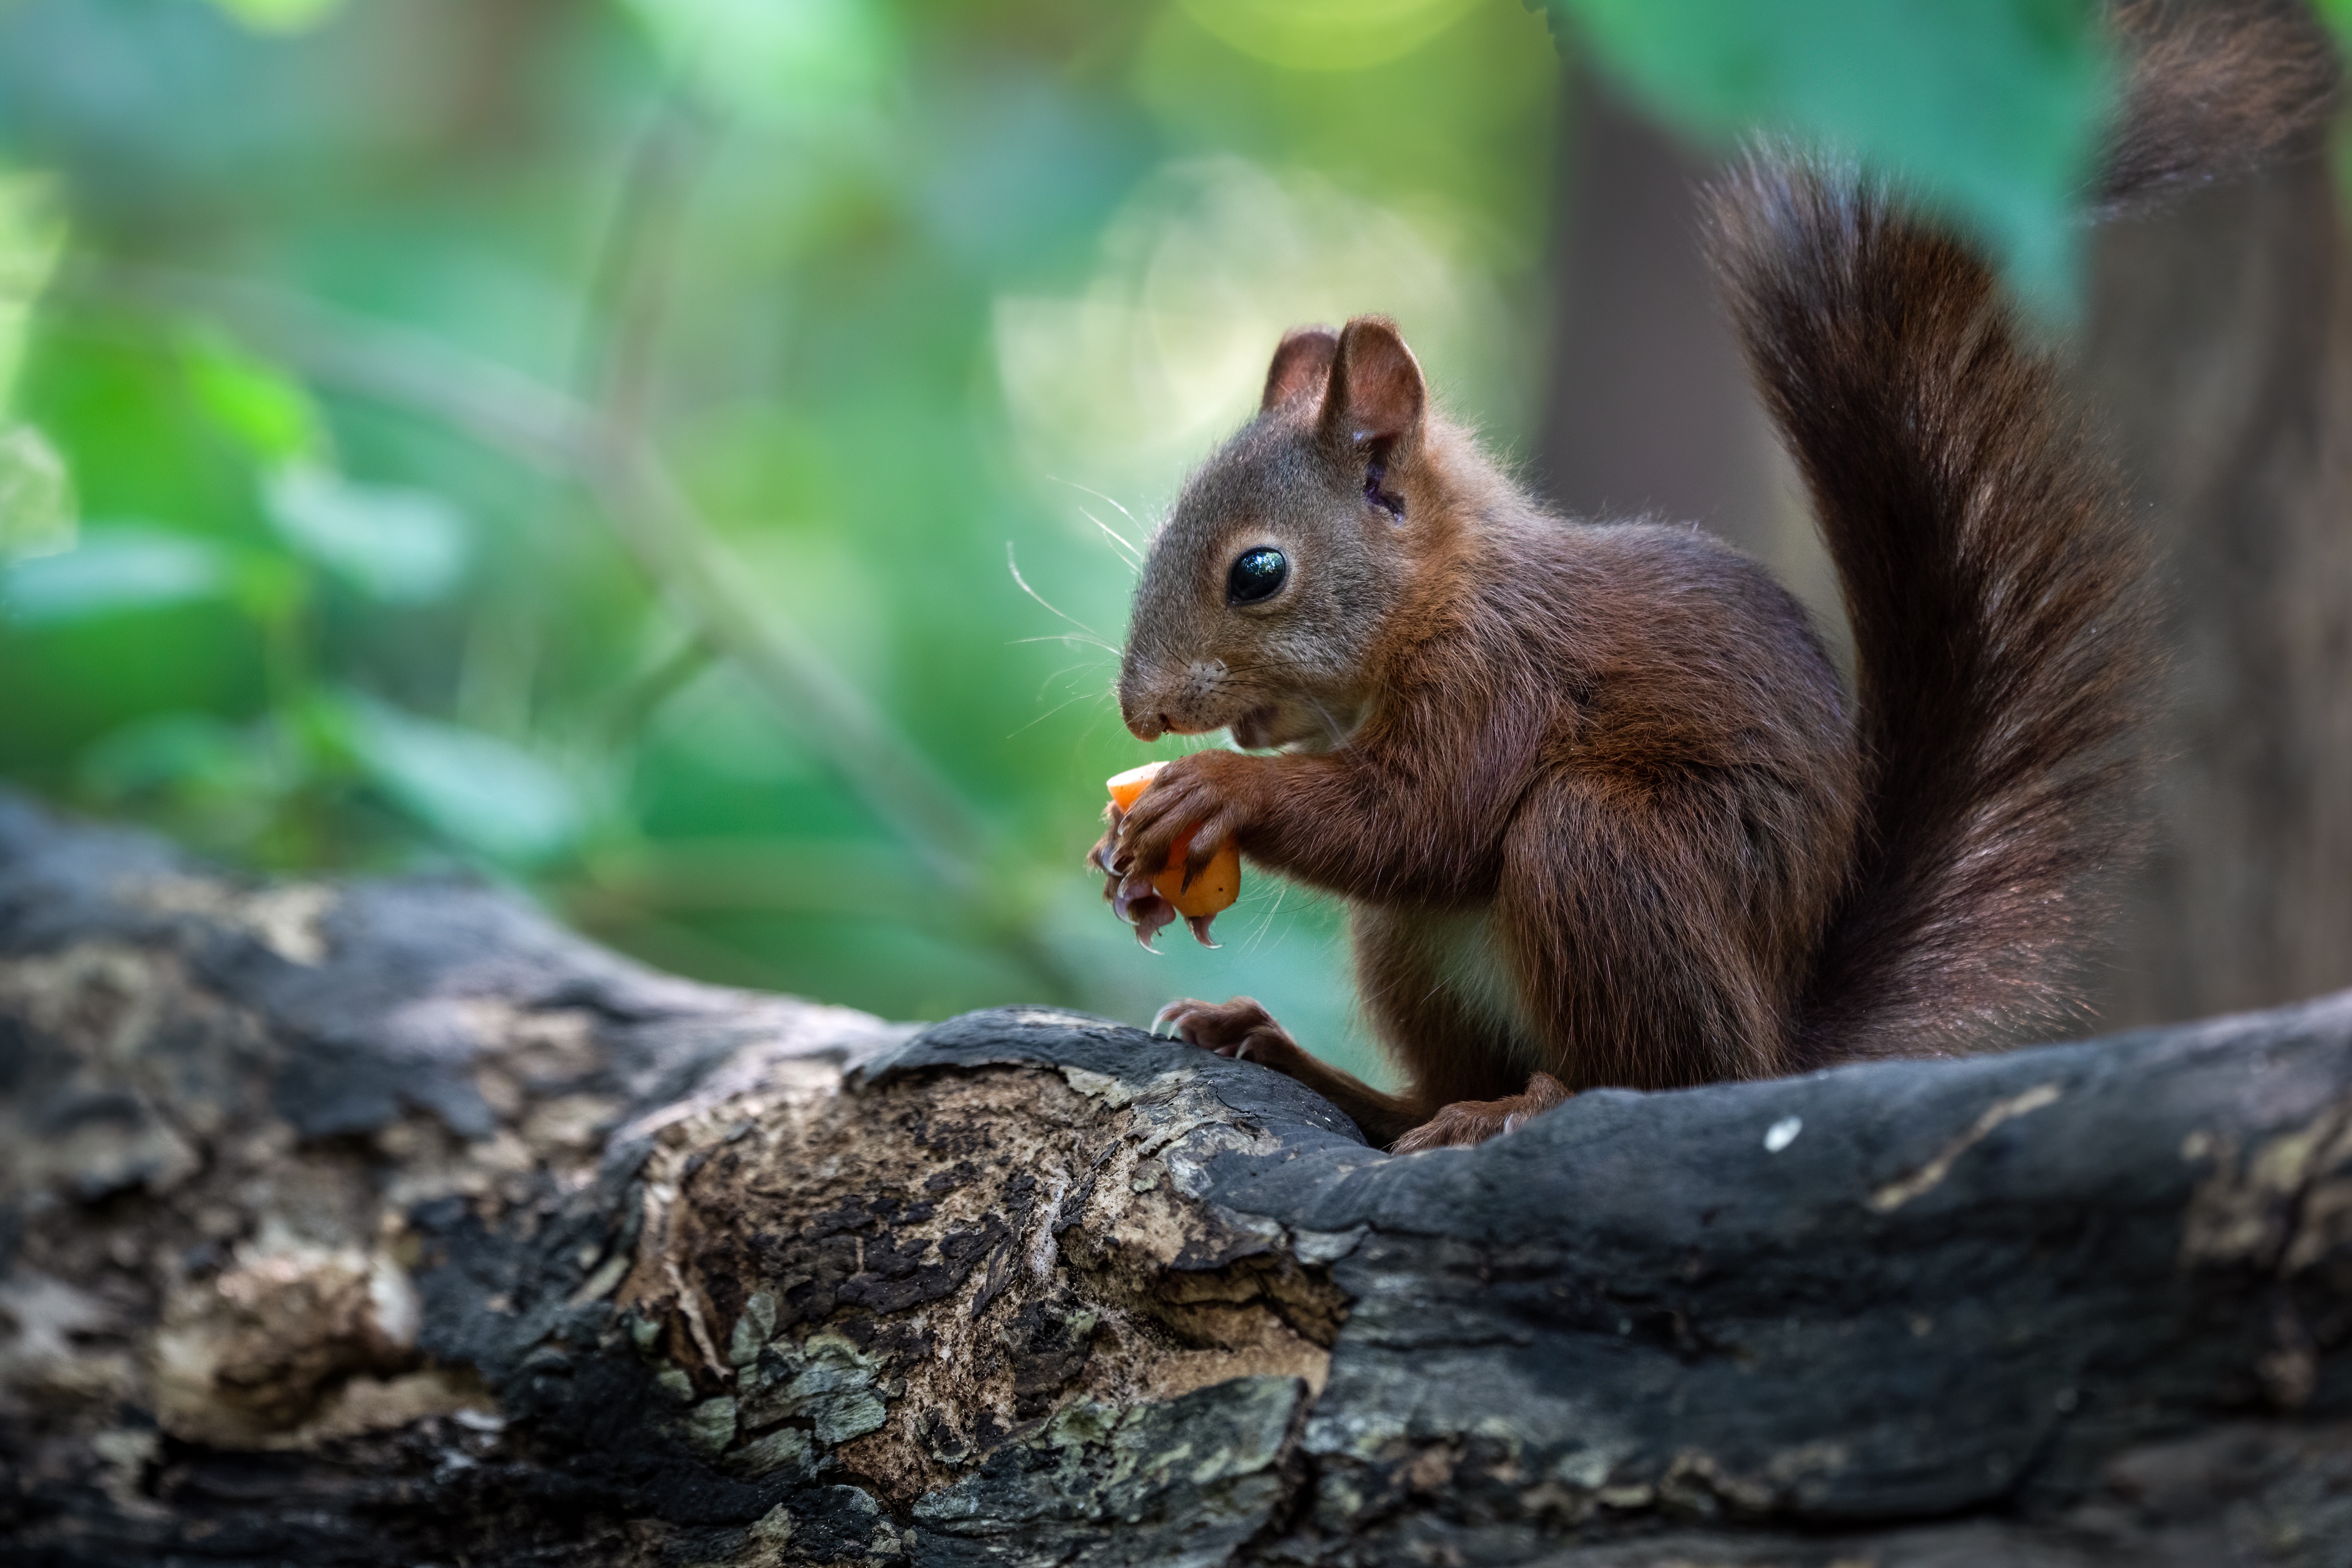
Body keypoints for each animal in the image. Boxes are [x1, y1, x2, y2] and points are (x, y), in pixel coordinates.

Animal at [1091, 0, 2342, 1152]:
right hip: (1412, 943)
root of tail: (1775, 1049)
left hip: (1613, 853)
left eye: (1259, 571)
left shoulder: (1498, 675)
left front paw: (1218, 795)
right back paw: (1308, 1063)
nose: (1141, 709)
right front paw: (1136, 868)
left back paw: (1530, 1103)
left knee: (1648, 1069)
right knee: (1428, 1089)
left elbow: (1419, 820)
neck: (1434, 596)